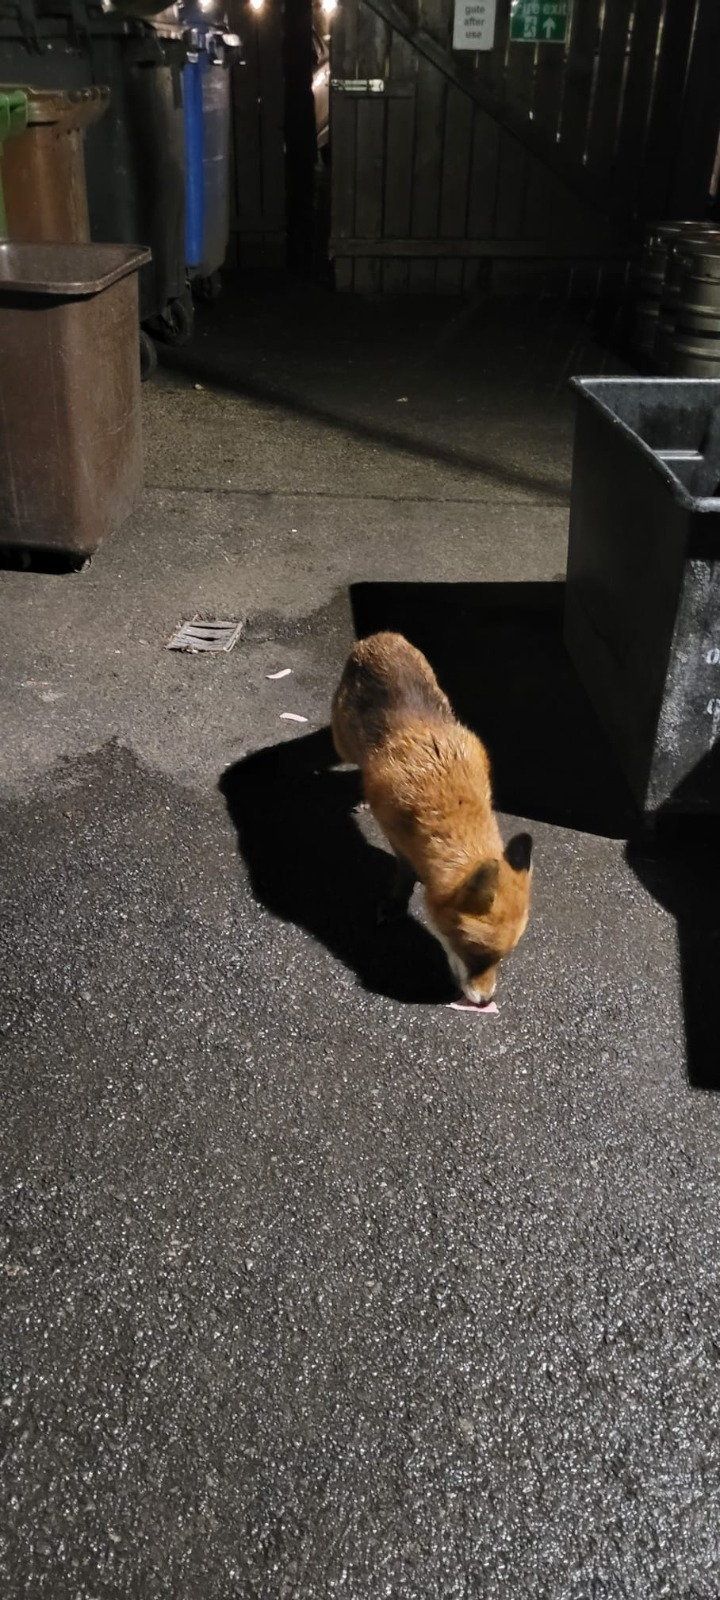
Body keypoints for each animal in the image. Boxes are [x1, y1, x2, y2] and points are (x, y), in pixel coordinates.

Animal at [332, 631, 533, 1004]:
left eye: (501, 959)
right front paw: (397, 901)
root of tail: (381, 636)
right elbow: (405, 871)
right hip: (343, 742)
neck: (445, 794)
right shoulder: (395, 832)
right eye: (475, 954)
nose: (486, 1001)